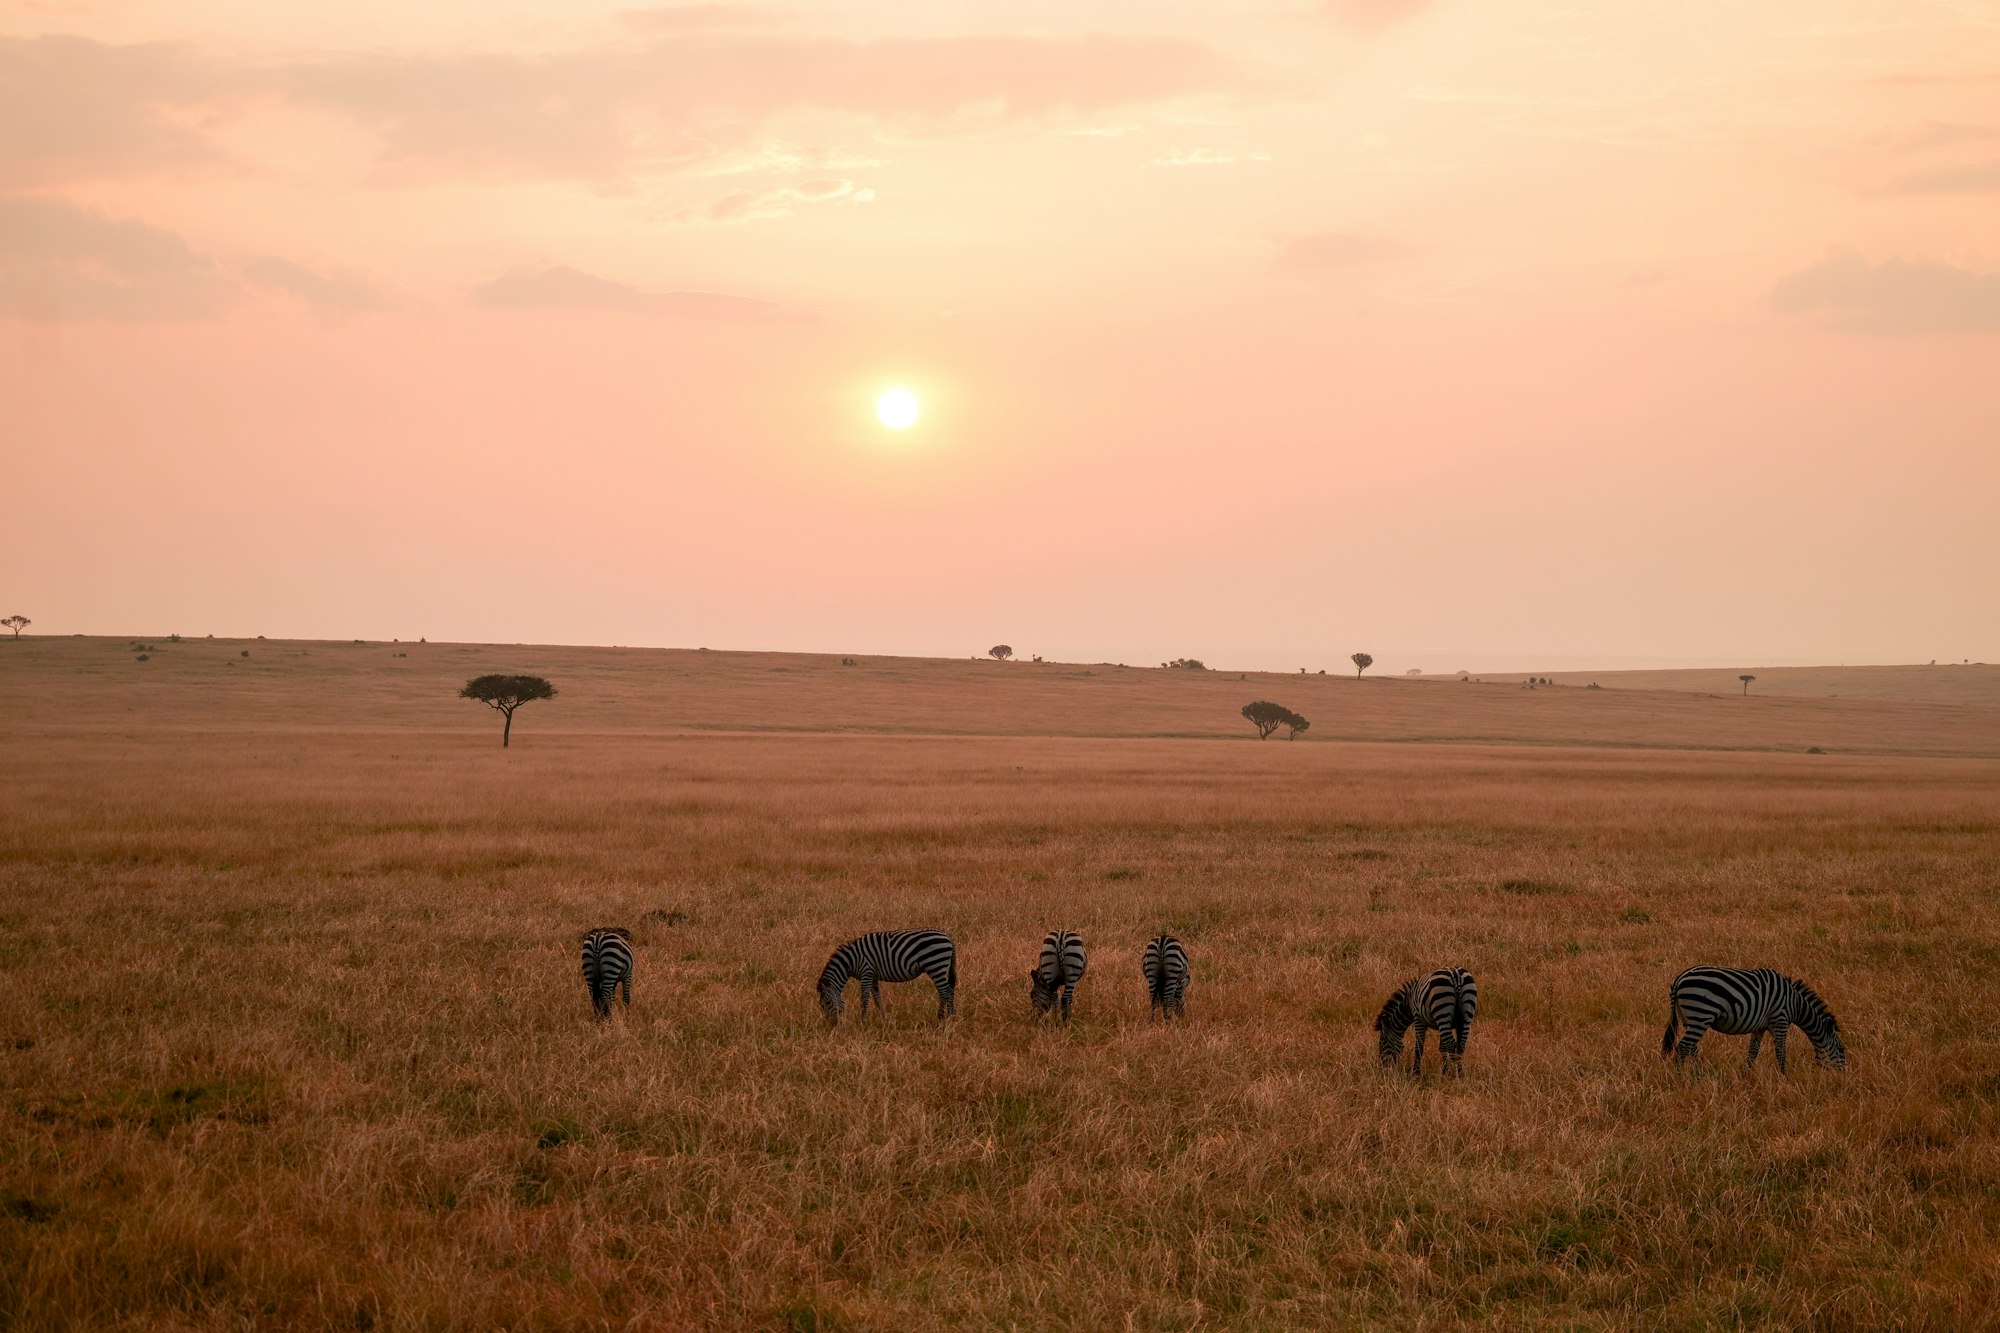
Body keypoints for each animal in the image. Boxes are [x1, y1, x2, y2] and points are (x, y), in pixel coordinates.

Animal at [817, 929, 957, 1026]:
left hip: (935, 965)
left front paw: (862, 1021)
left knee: (947, 991)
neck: (852, 961)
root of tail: (948, 937)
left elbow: (864, 999)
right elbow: (877, 998)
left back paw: (950, 1017)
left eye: (827, 1003)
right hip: (937, 968)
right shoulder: (873, 976)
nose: (832, 1025)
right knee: (942, 992)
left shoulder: (866, 973)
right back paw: (940, 1016)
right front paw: (883, 1018)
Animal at [1663, 966, 1847, 1073]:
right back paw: (1680, 1077)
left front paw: (1746, 1075)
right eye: (1841, 1049)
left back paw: (1698, 1074)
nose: (1844, 1075)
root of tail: (1678, 979)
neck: (1795, 1004)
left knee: (1691, 1047)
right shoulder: (1780, 1020)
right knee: (1683, 1047)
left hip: (1689, 1018)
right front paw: (1784, 1077)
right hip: (1701, 1013)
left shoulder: (1760, 1027)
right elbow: (1781, 1052)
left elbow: (1753, 1052)